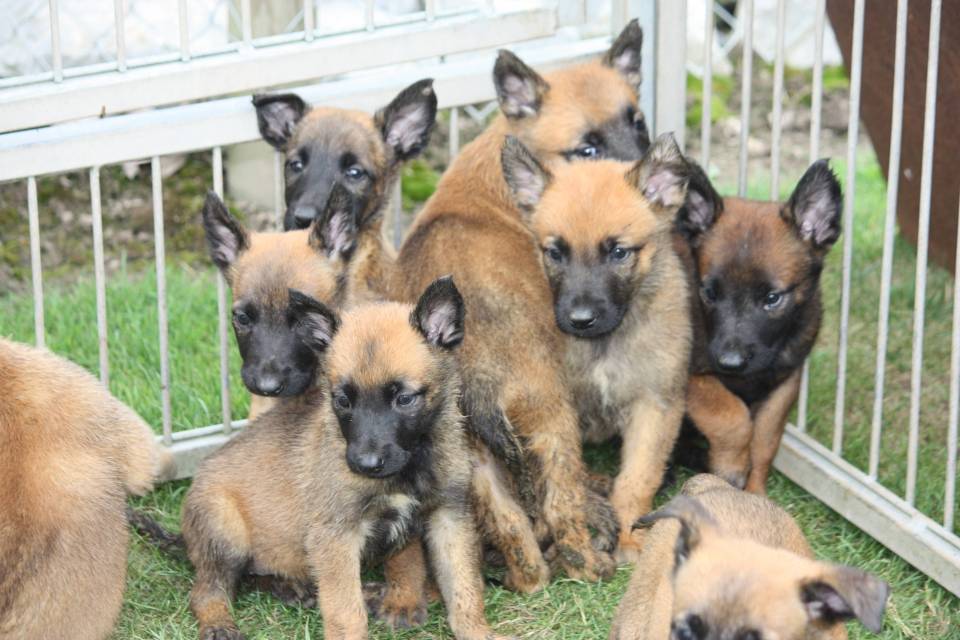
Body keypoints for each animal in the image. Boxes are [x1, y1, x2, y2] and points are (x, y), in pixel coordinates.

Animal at [179, 278, 510, 640]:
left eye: (404, 399)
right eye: (342, 400)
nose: (365, 464)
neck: (412, 463)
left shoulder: (449, 517)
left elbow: (464, 587)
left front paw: (473, 630)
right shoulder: (336, 534)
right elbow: (345, 610)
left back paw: (295, 587)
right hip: (224, 528)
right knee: (208, 590)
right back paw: (219, 623)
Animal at [388, 20, 644, 588]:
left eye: (637, 123)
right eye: (586, 149)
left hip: (470, 456)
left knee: (512, 528)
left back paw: (526, 577)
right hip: (551, 418)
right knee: (560, 508)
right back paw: (588, 562)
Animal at [676, 160, 840, 490]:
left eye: (772, 298)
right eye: (709, 293)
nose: (730, 362)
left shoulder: (785, 380)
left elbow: (765, 439)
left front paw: (756, 492)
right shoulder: (691, 376)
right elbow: (731, 414)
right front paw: (731, 467)